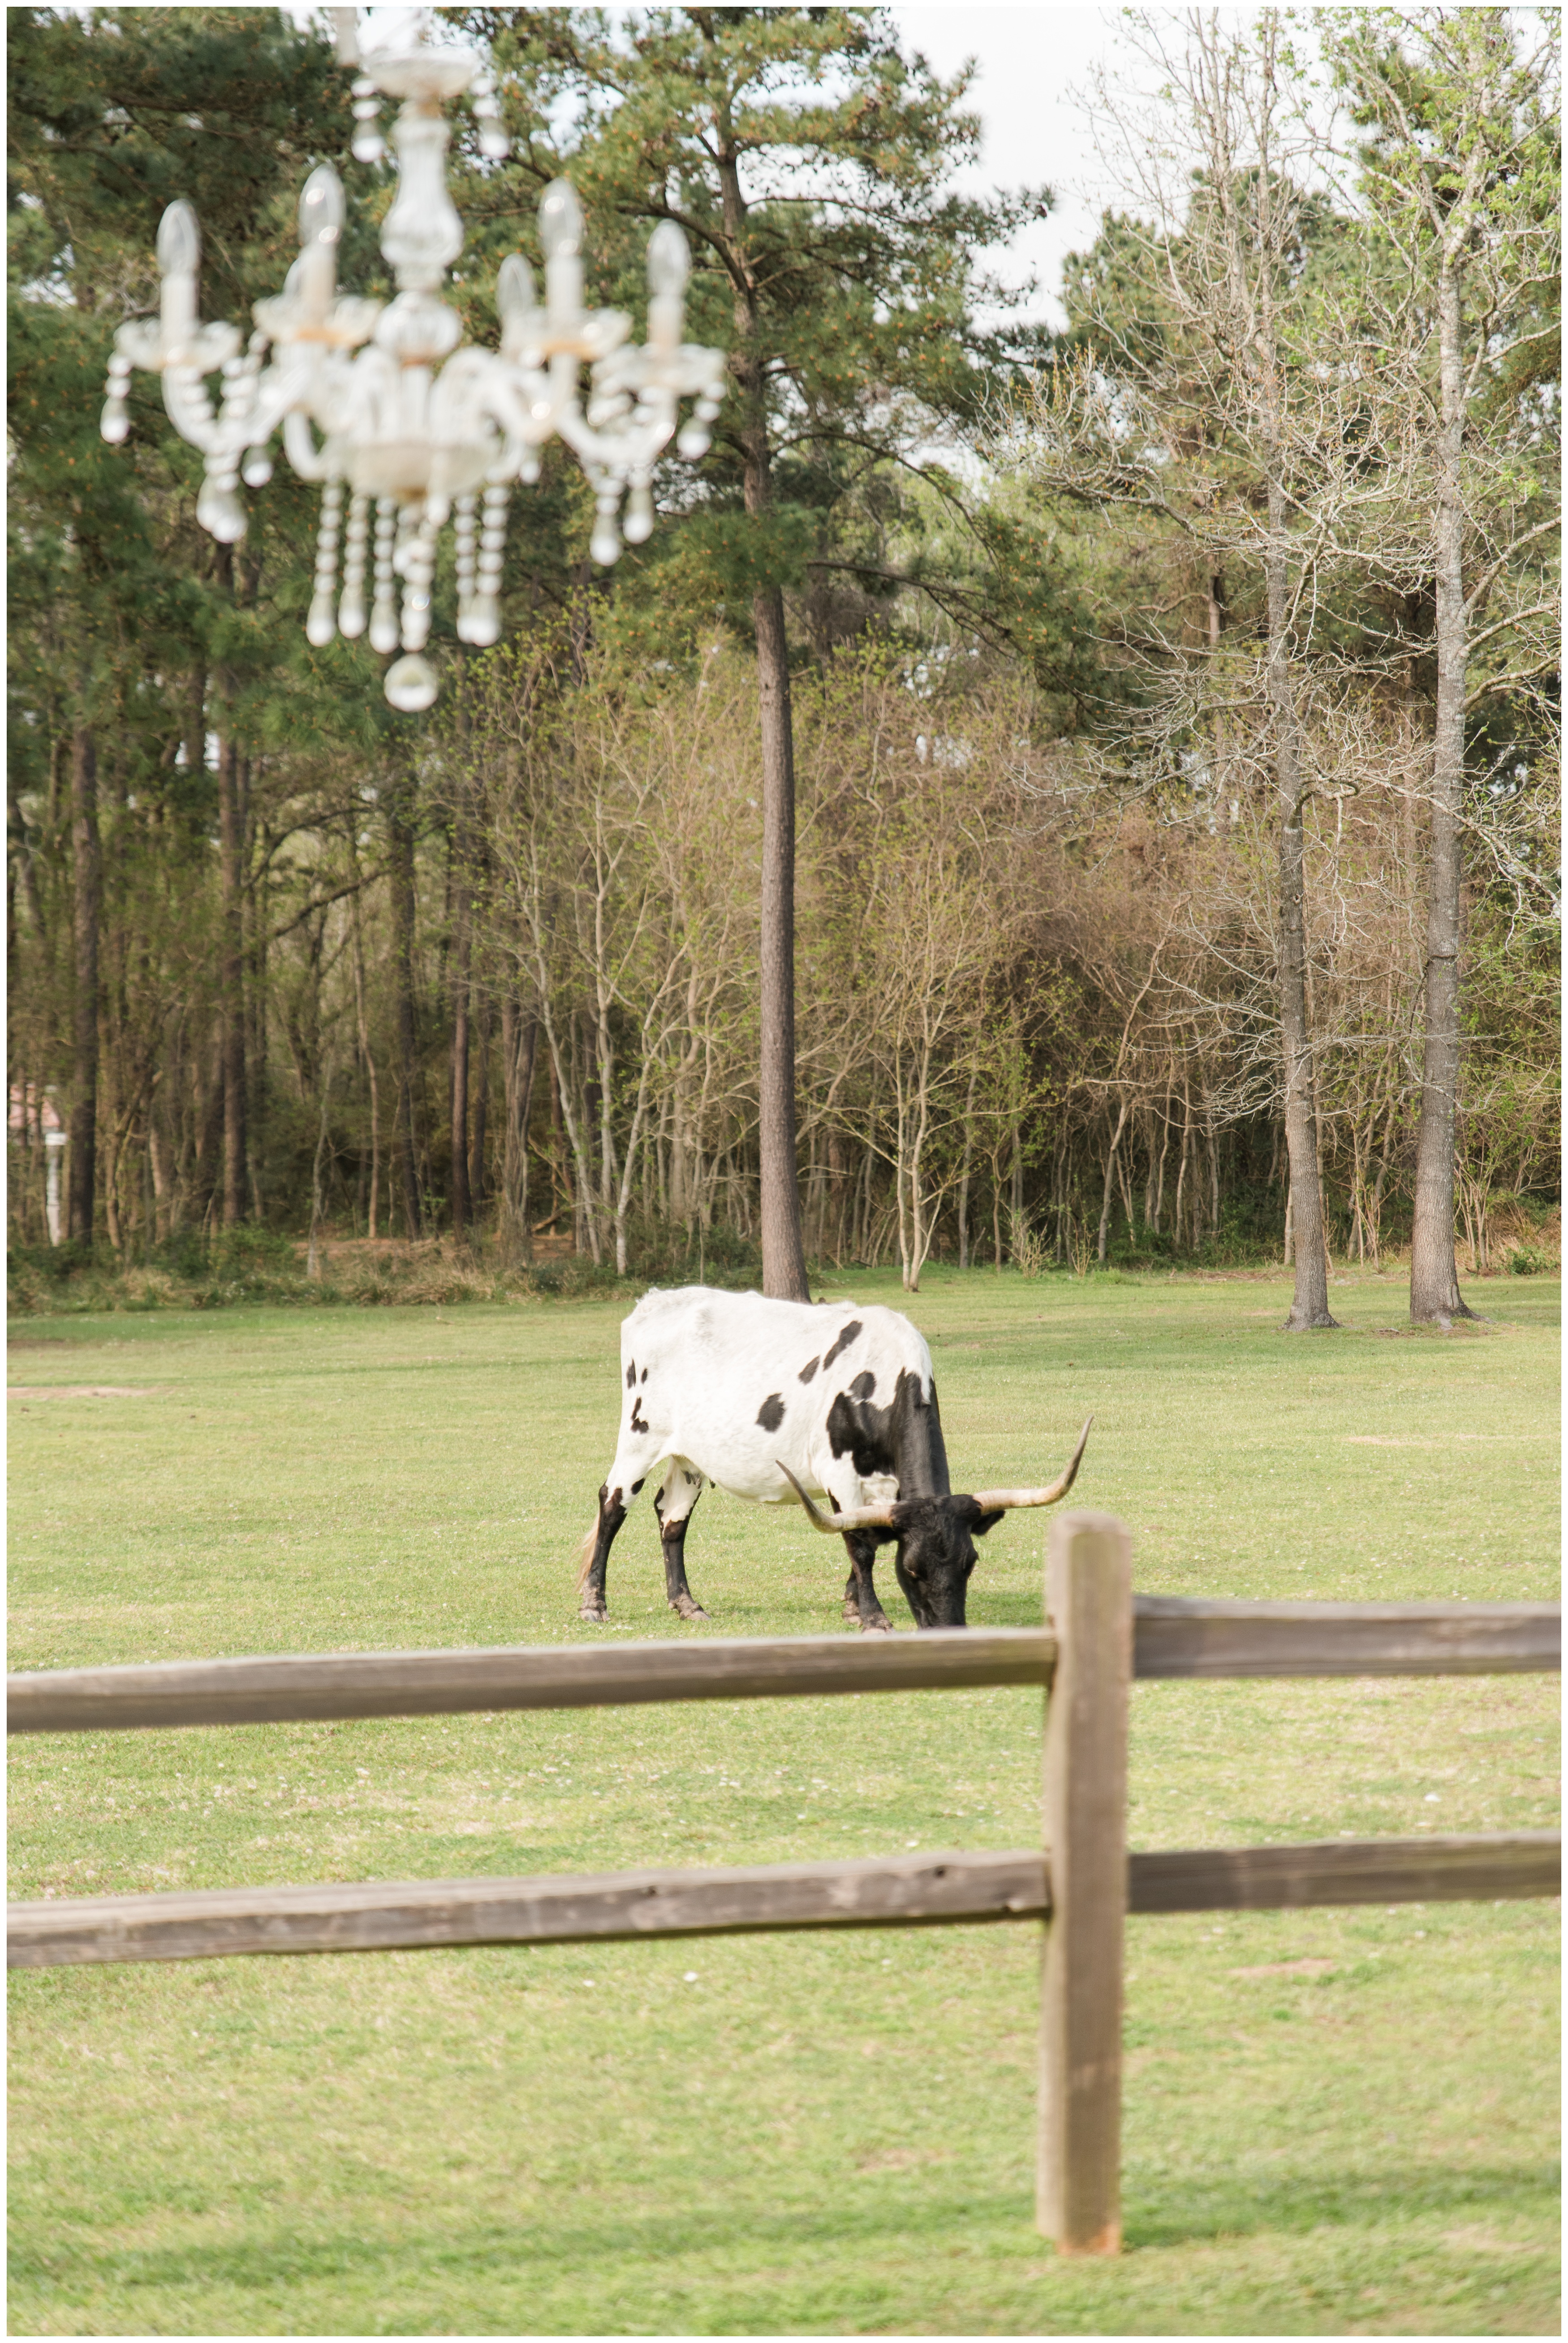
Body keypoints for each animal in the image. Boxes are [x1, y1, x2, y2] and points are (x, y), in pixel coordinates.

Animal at [574, 1284, 1087, 1631]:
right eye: (913, 1570)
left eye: (970, 1563)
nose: (948, 1632)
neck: (883, 1381)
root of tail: (655, 1301)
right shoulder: (838, 1473)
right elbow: (859, 1543)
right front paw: (872, 1616)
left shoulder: (889, 1487)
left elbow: (869, 1536)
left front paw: (852, 1604)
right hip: (639, 1438)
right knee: (612, 1504)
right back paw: (594, 1604)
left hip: (689, 1457)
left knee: (672, 1519)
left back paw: (686, 1604)